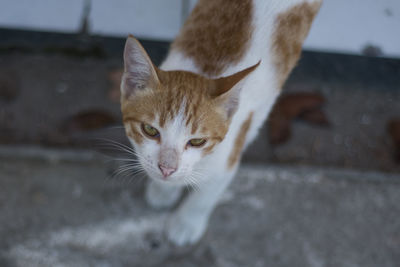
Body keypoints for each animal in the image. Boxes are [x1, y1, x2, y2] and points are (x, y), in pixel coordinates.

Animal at [119, 0, 322, 247]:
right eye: (150, 130)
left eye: (197, 141)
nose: (167, 168)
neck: (207, 70)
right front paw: (163, 190)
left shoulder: (229, 154)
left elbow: (207, 195)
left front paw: (186, 223)